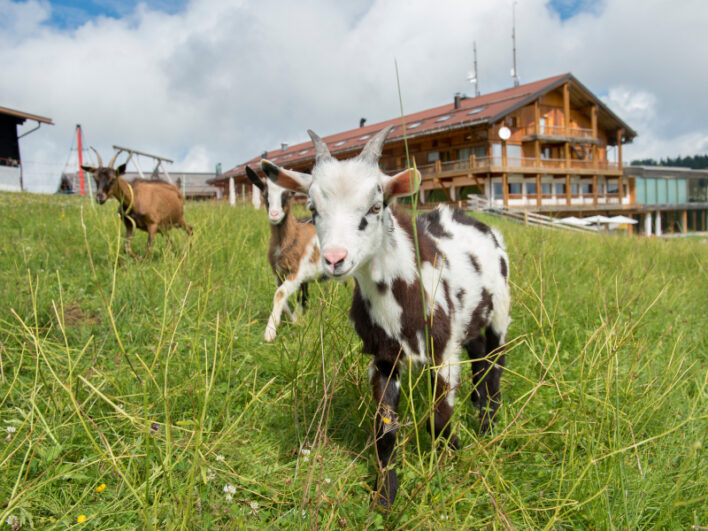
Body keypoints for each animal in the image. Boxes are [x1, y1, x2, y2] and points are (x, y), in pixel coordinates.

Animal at [246, 166, 323, 342]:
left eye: (287, 195)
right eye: (265, 194)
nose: (274, 215)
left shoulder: (297, 272)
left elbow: (280, 294)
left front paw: (269, 333)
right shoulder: (279, 273)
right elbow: (282, 295)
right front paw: (295, 320)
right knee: (304, 295)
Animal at [261, 126, 511, 507]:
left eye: (376, 206)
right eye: (313, 209)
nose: (334, 259)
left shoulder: (443, 352)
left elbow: (438, 417)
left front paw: (451, 453)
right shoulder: (382, 358)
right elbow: (385, 428)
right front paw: (385, 495)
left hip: (500, 310)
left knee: (495, 362)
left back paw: (488, 423)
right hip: (471, 323)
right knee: (480, 356)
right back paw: (479, 407)